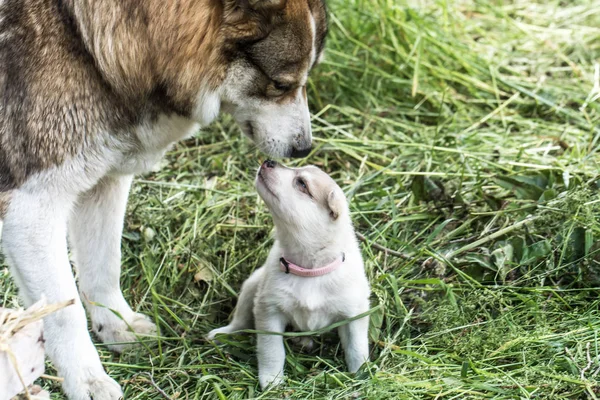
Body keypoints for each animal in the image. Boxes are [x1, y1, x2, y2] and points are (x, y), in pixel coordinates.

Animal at [0, 0, 328, 396]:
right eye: (281, 84)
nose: (304, 148)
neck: (82, 43)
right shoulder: (30, 209)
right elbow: (66, 313)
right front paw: (87, 380)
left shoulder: (101, 183)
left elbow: (104, 267)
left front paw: (117, 327)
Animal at [209, 161, 372, 390]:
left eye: (302, 184)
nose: (269, 161)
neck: (309, 271)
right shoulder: (268, 311)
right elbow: (272, 351)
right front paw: (272, 380)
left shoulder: (354, 315)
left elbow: (357, 348)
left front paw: (362, 377)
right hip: (251, 287)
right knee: (240, 322)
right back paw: (223, 334)